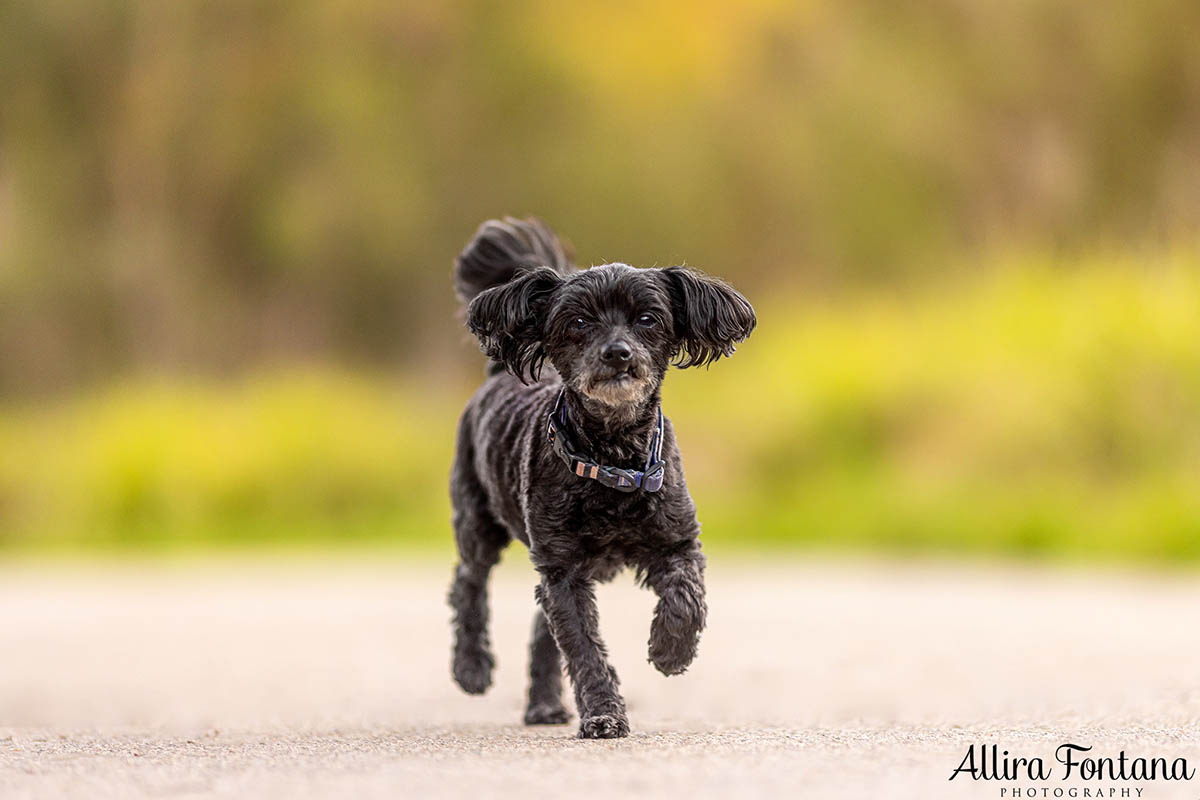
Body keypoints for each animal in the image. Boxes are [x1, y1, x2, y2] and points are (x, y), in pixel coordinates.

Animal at [446, 217, 753, 738]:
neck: (614, 458)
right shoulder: (564, 570)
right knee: (468, 583)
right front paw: (604, 715)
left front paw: (670, 651)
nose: (618, 354)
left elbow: (686, 598)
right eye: (578, 322)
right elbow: (584, 648)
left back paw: (544, 706)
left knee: (539, 629)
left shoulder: (677, 541)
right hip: (477, 519)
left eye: (648, 319)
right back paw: (471, 667)